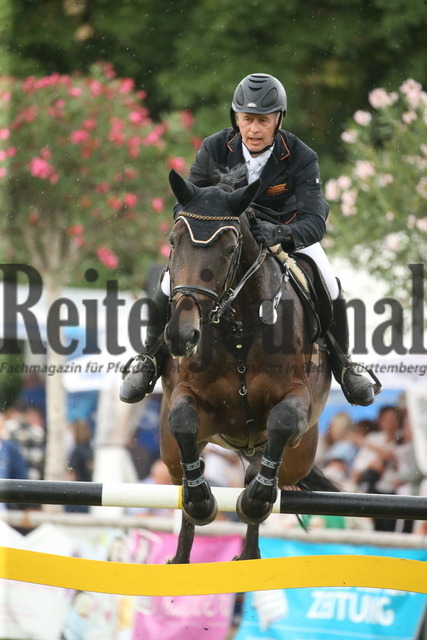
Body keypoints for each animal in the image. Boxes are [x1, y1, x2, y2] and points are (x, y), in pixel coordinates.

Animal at [160, 168, 332, 564]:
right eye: (174, 242)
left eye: (228, 249)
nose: (181, 335)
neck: (238, 326)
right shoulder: (192, 399)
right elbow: (183, 421)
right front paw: (201, 500)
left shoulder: (297, 398)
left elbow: (283, 420)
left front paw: (254, 500)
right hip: (168, 453)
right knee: (181, 475)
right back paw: (182, 553)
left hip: (301, 453)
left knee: (267, 468)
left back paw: (251, 545)